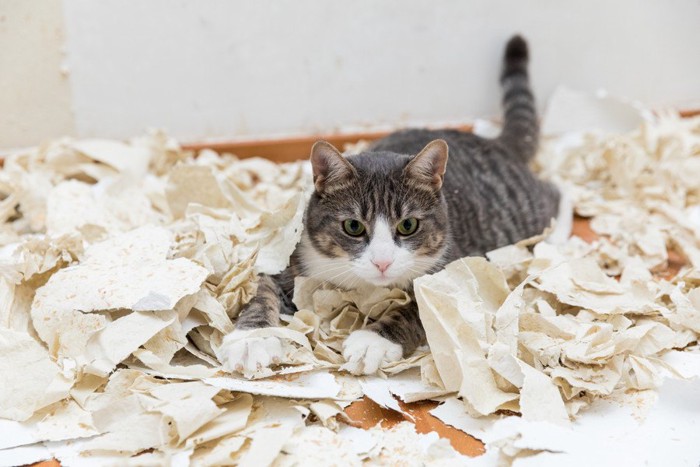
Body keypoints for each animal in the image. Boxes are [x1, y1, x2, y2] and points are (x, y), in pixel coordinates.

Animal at [221, 33, 572, 376]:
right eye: (353, 226)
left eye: (408, 225)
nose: (382, 263)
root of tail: (495, 145)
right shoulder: (295, 252)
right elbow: (263, 288)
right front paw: (251, 338)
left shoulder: (450, 273)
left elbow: (418, 311)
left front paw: (372, 342)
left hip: (521, 210)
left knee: (556, 190)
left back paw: (555, 238)